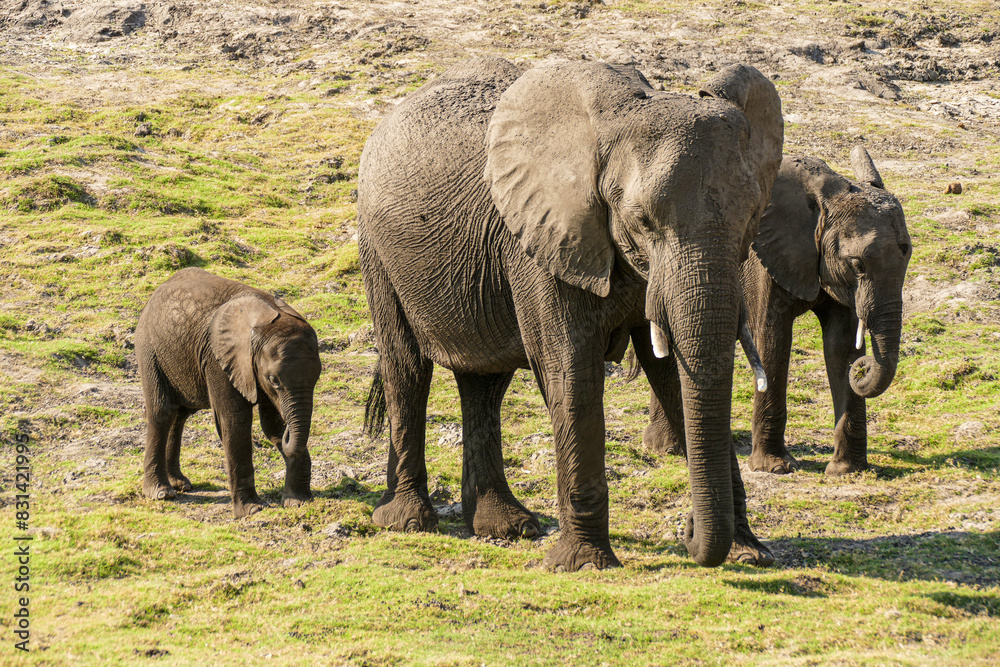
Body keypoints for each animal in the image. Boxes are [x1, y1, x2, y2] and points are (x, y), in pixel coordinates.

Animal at [135, 267, 321, 518]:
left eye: (317, 377)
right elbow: (234, 420)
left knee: (180, 415)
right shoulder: (218, 360)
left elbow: (270, 424)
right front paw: (253, 510)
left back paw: (180, 484)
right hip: (149, 348)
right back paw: (161, 493)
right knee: (161, 412)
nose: (288, 433)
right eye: (273, 380)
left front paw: (298, 502)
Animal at [357, 56, 783, 570]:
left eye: (753, 216)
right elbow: (571, 372)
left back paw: (506, 527)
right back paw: (407, 522)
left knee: (484, 383)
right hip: (377, 248)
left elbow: (669, 371)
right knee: (406, 368)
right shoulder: (541, 240)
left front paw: (750, 553)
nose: (687, 532)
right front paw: (584, 565)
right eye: (642, 221)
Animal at [642, 147, 911, 476]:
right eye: (857, 264)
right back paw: (668, 447)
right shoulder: (764, 260)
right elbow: (774, 340)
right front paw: (775, 467)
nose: (863, 367)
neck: (825, 197)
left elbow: (840, 345)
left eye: (907, 254)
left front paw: (846, 470)